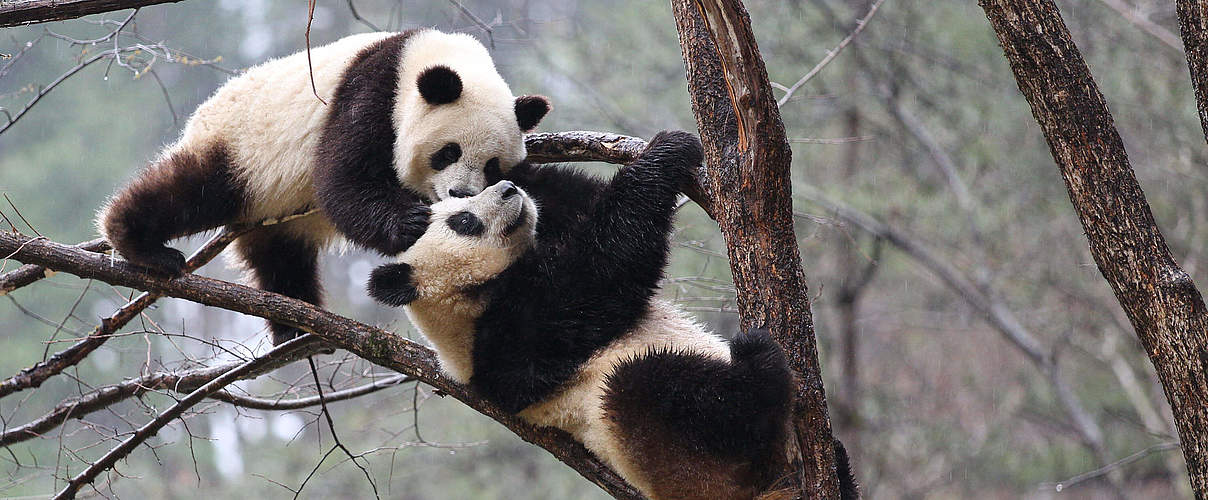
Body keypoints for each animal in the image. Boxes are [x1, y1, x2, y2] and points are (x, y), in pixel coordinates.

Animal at [99, 28, 553, 342]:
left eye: (492, 166)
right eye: (448, 152)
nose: (462, 194)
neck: (436, 55)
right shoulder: (372, 91)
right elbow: (343, 177)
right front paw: (409, 223)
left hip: (278, 210)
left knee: (282, 255)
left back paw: (294, 324)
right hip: (240, 150)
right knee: (191, 191)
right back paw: (140, 244)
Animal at [367, 131, 860, 497]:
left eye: (464, 200)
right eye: (463, 222)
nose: (507, 191)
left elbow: (576, 200)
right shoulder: (509, 341)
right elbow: (602, 273)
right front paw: (668, 150)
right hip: (674, 454)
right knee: (656, 388)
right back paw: (759, 364)